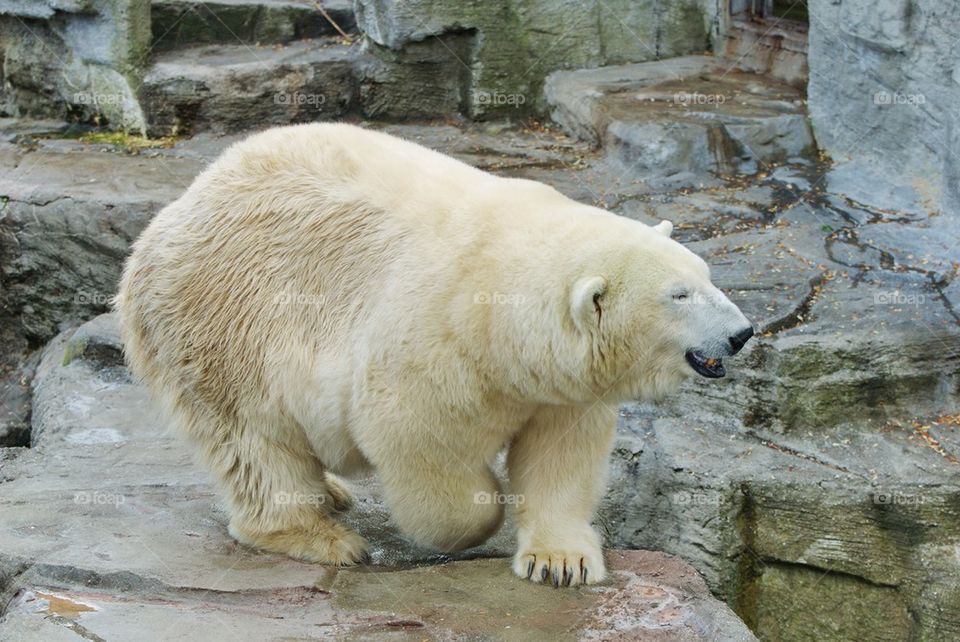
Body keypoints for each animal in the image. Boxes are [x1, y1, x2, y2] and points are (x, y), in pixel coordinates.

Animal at [116, 121, 752, 584]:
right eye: (679, 294)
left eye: (706, 274)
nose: (742, 333)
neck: (500, 308)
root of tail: (176, 209)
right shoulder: (435, 343)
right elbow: (421, 445)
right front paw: (485, 502)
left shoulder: (564, 385)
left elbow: (563, 454)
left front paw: (561, 562)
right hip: (223, 326)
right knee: (252, 442)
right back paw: (324, 536)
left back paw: (333, 491)